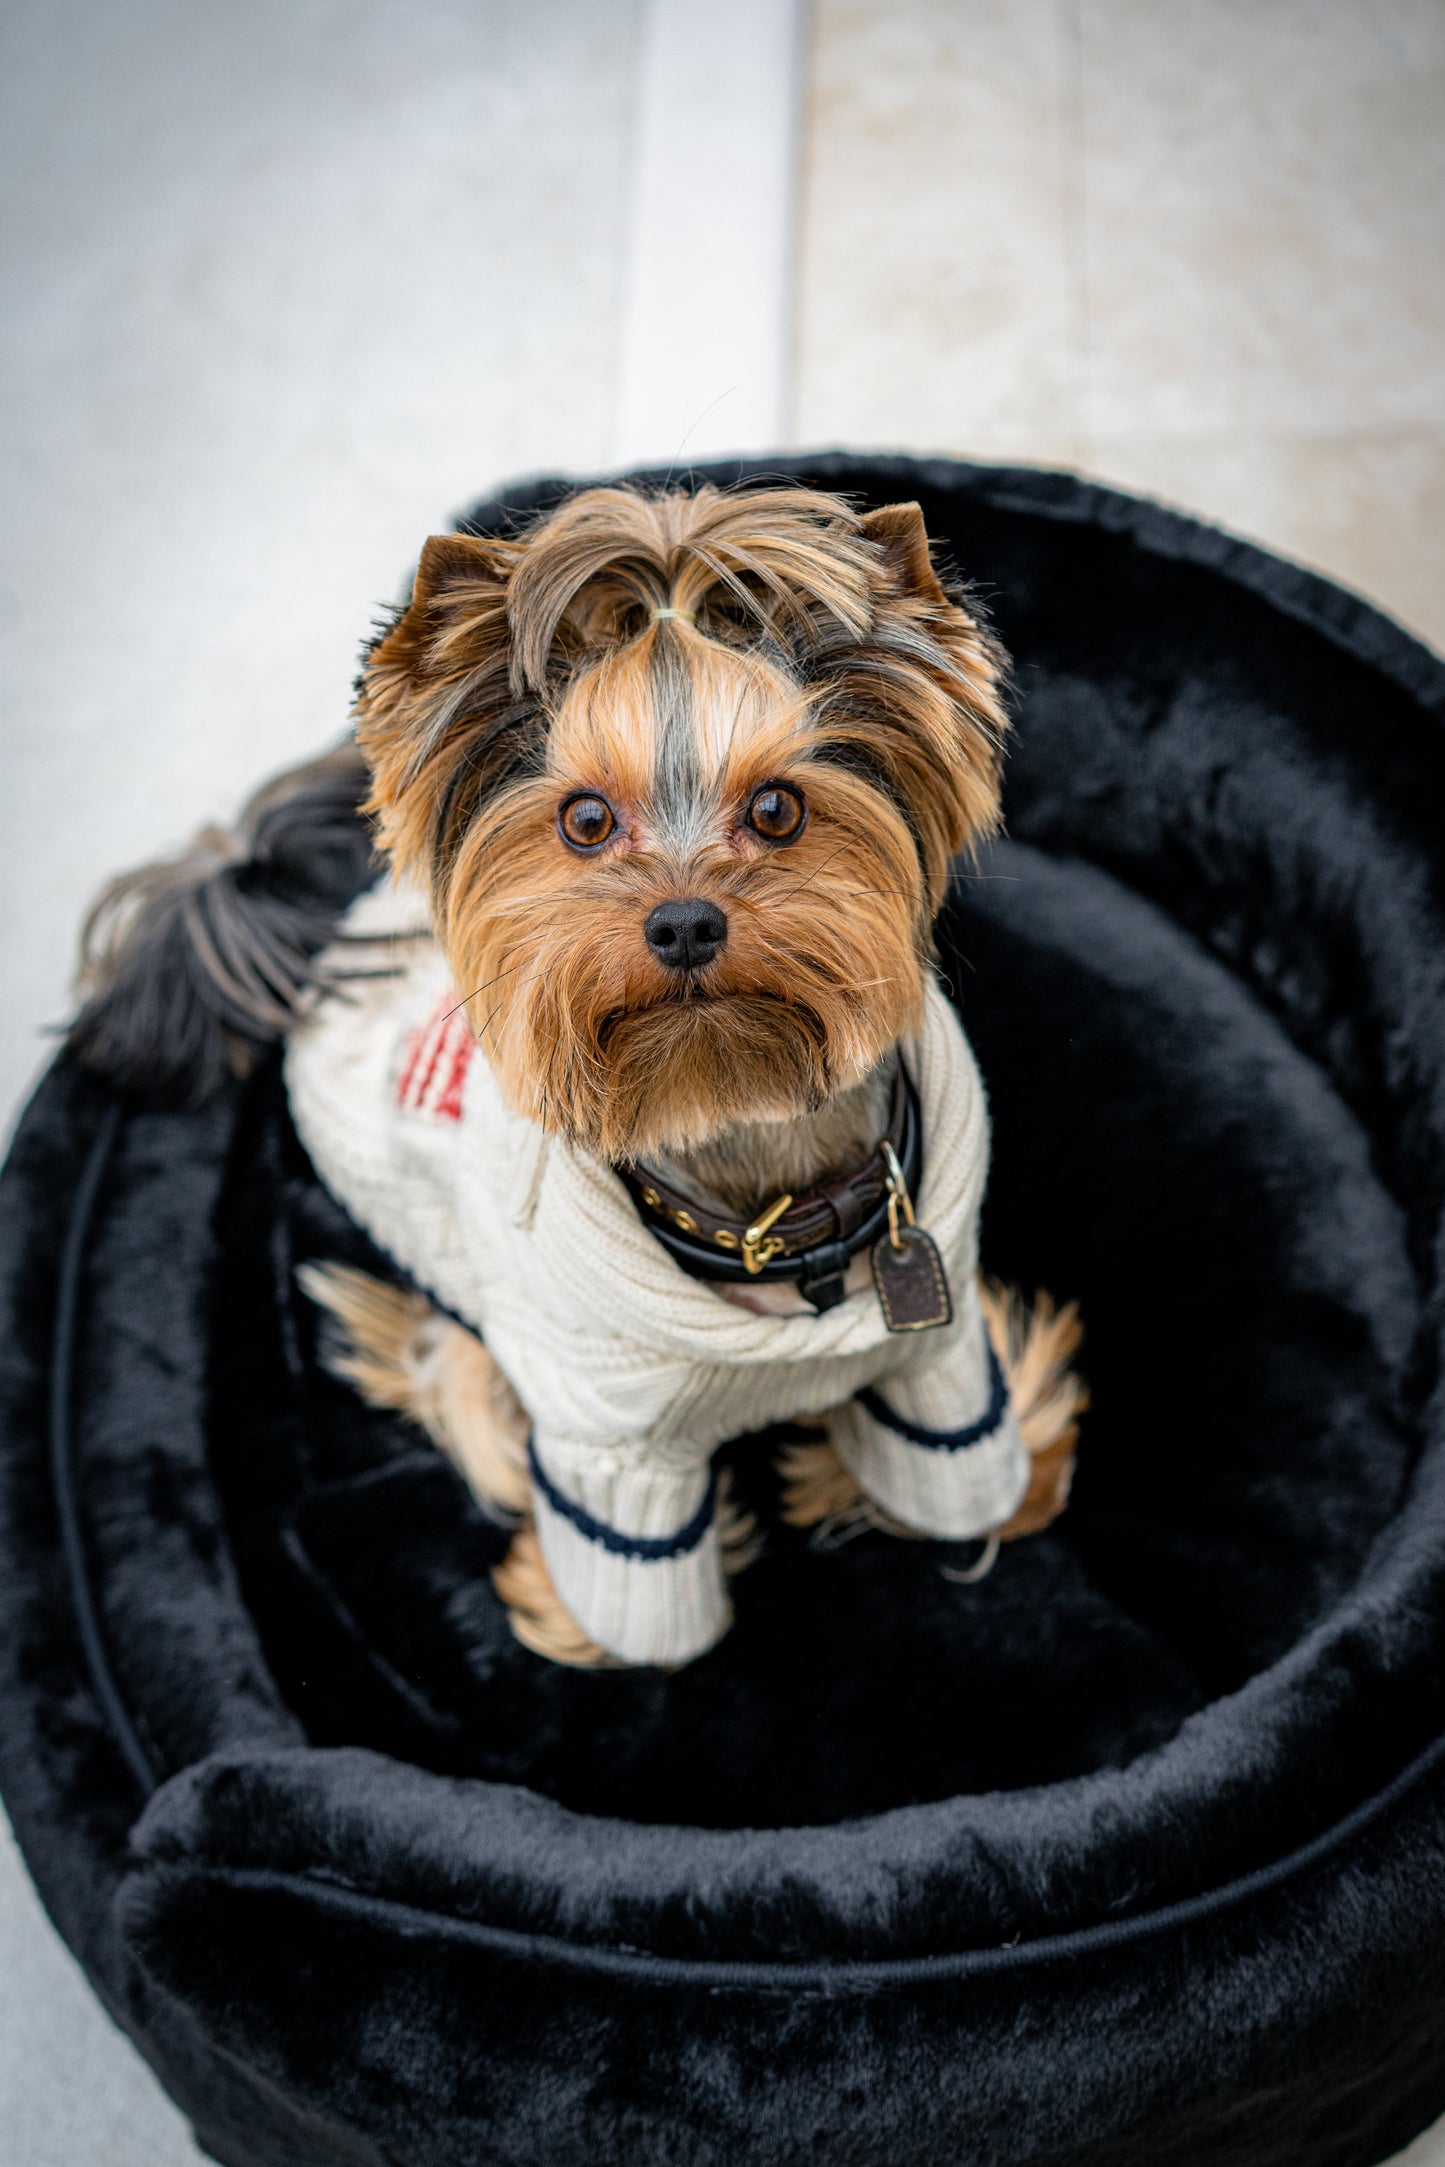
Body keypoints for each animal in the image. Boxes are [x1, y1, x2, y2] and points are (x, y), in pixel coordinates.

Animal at [277, 487, 1078, 1672]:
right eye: (585, 820)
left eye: (779, 809)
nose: (685, 920)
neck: (763, 1197)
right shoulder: (612, 1455)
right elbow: (639, 1626)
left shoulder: (935, 1361)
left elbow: (984, 1495)